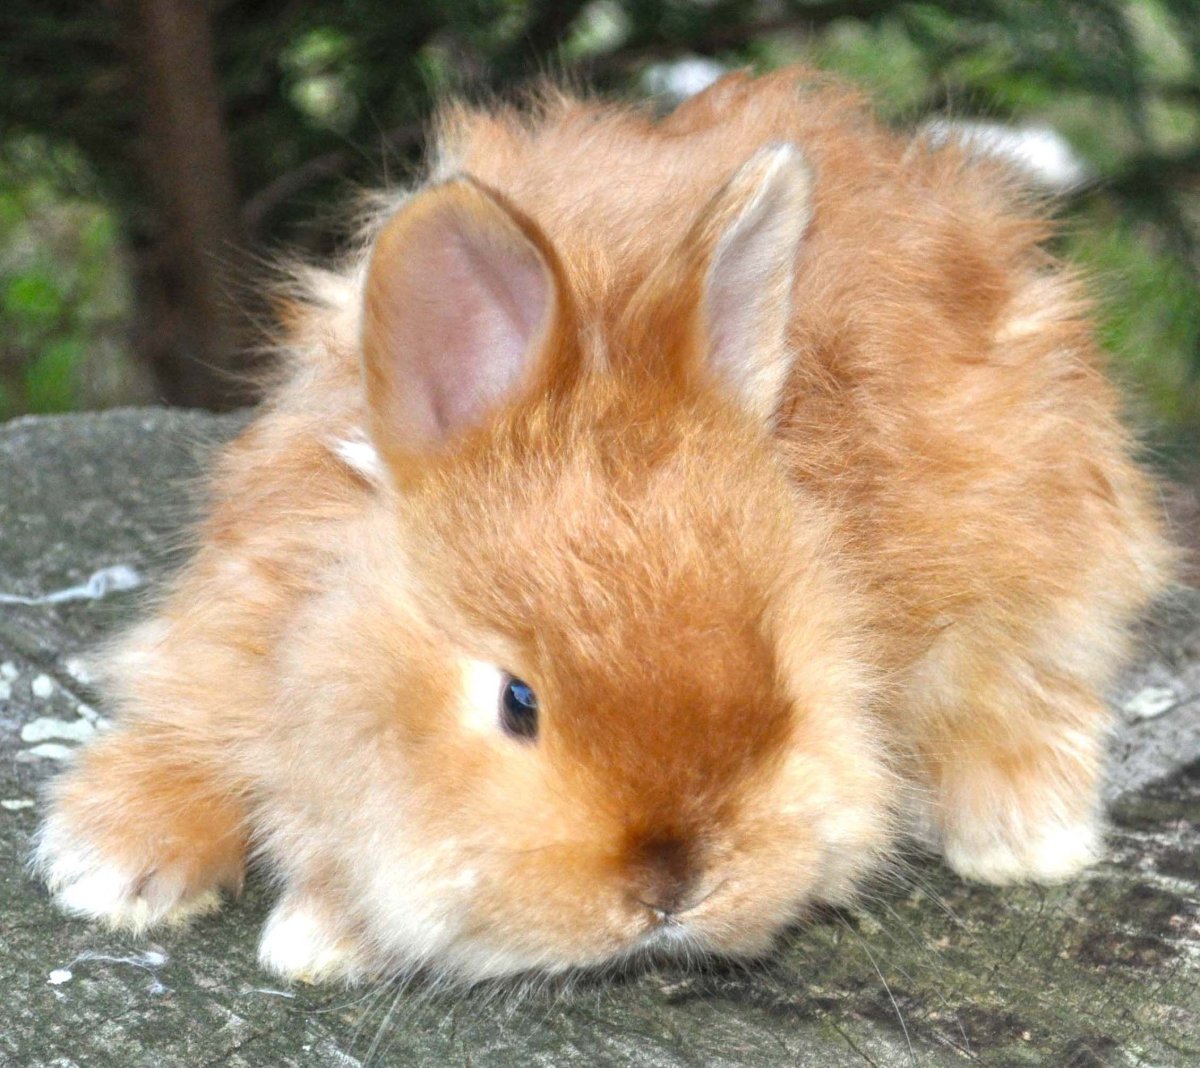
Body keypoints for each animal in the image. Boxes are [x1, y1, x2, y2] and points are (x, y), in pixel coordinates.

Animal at [34, 67, 1174, 984]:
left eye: (784, 679)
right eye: (518, 702)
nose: (669, 889)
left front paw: (322, 935)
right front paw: (109, 865)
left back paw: (1022, 835)